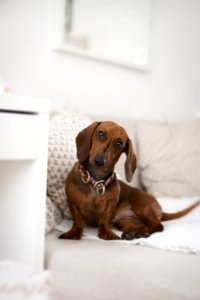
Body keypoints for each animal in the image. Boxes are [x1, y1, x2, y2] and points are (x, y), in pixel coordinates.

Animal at [59, 120, 200, 240]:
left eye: (119, 143)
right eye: (100, 133)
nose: (99, 161)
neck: (96, 180)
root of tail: (160, 209)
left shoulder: (111, 204)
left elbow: (104, 220)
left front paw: (107, 233)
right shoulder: (72, 202)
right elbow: (78, 221)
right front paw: (73, 232)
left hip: (142, 205)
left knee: (158, 226)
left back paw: (140, 233)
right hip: (125, 221)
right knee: (143, 226)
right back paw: (134, 233)